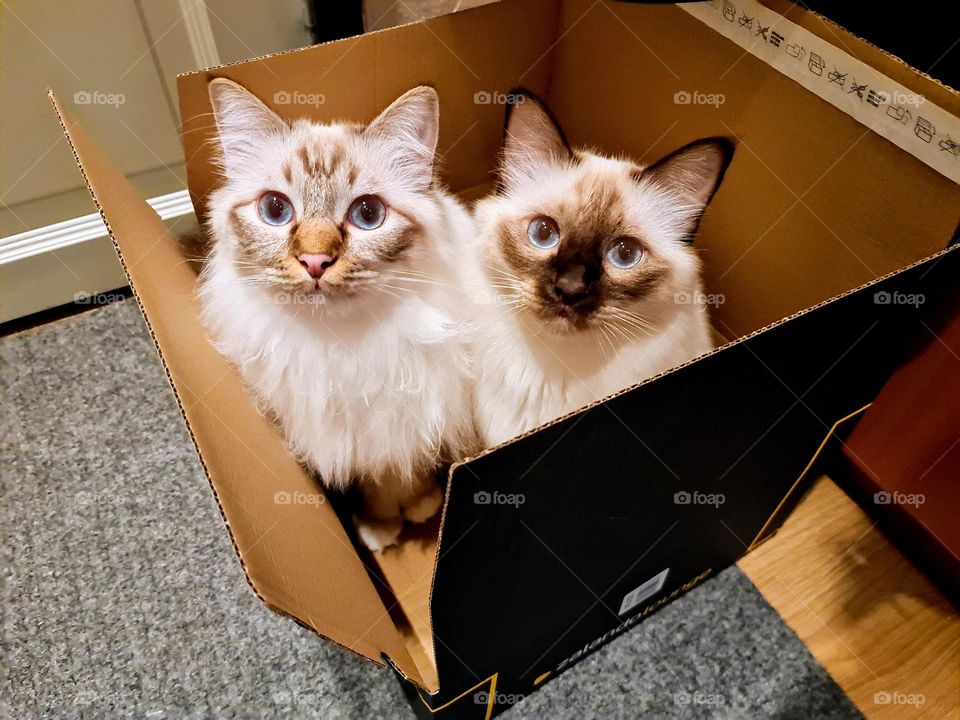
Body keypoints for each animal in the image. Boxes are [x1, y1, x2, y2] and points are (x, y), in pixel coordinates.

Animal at [200, 80, 476, 552]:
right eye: (275, 210)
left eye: (368, 214)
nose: (315, 261)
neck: (341, 345)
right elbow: (373, 485)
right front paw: (381, 527)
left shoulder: (403, 416)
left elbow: (397, 471)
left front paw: (419, 504)